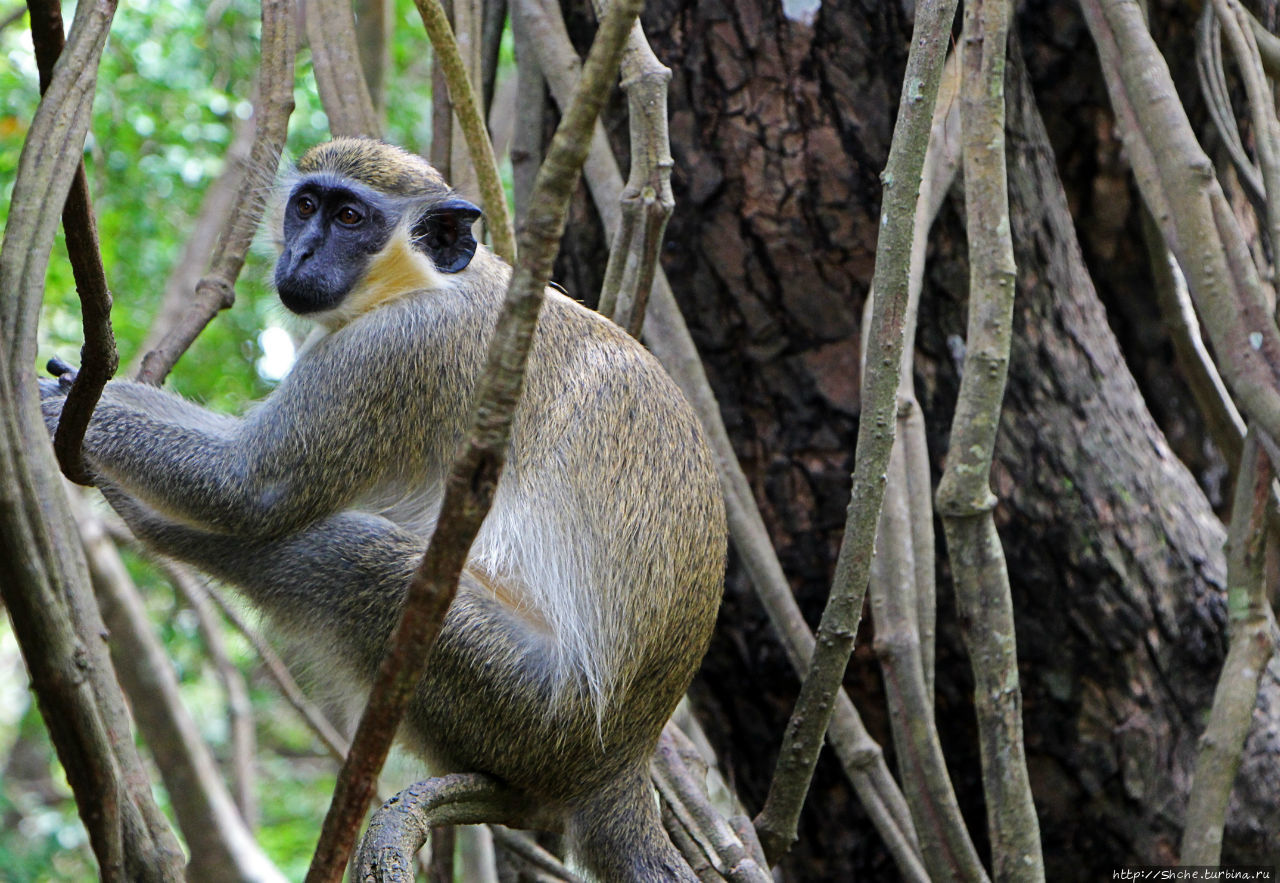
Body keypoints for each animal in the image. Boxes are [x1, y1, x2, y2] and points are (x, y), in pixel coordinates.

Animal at [40, 134, 727, 875]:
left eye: (350, 217)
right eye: (306, 205)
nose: (300, 255)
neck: (433, 280)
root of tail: (624, 761)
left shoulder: (398, 351)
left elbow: (249, 485)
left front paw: (77, 415)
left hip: (536, 708)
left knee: (350, 552)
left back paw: (162, 529)